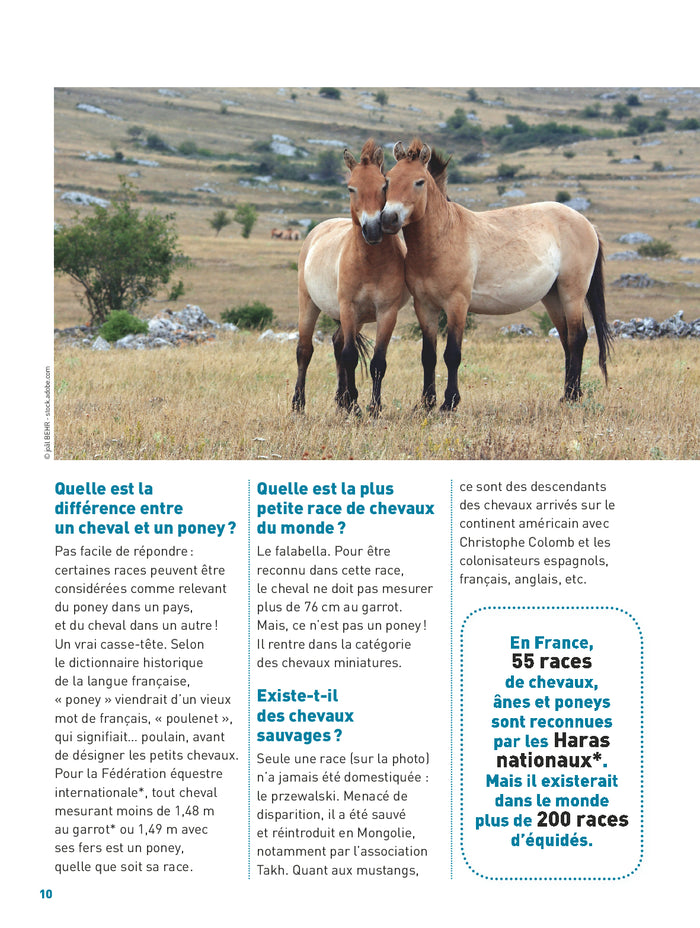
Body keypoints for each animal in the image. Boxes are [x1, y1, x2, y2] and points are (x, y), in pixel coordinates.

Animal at [292, 139, 410, 415]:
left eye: (384, 185)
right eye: (351, 188)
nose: (373, 229)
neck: (369, 263)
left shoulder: (386, 312)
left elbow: (377, 362)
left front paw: (372, 408)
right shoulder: (348, 307)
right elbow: (350, 356)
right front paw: (355, 403)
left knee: (337, 343)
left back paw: (341, 401)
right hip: (309, 303)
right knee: (305, 350)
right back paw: (299, 404)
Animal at [380, 138, 613, 410]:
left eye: (419, 182)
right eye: (388, 180)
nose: (388, 218)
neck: (444, 236)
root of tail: (587, 223)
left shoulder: (457, 305)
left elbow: (452, 354)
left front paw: (449, 402)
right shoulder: (425, 307)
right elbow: (428, 356)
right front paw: (426, 403)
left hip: (571, 293)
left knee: (578, 337)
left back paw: (573, 396)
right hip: (553, 296)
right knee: (567, 340)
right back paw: (566, 395)